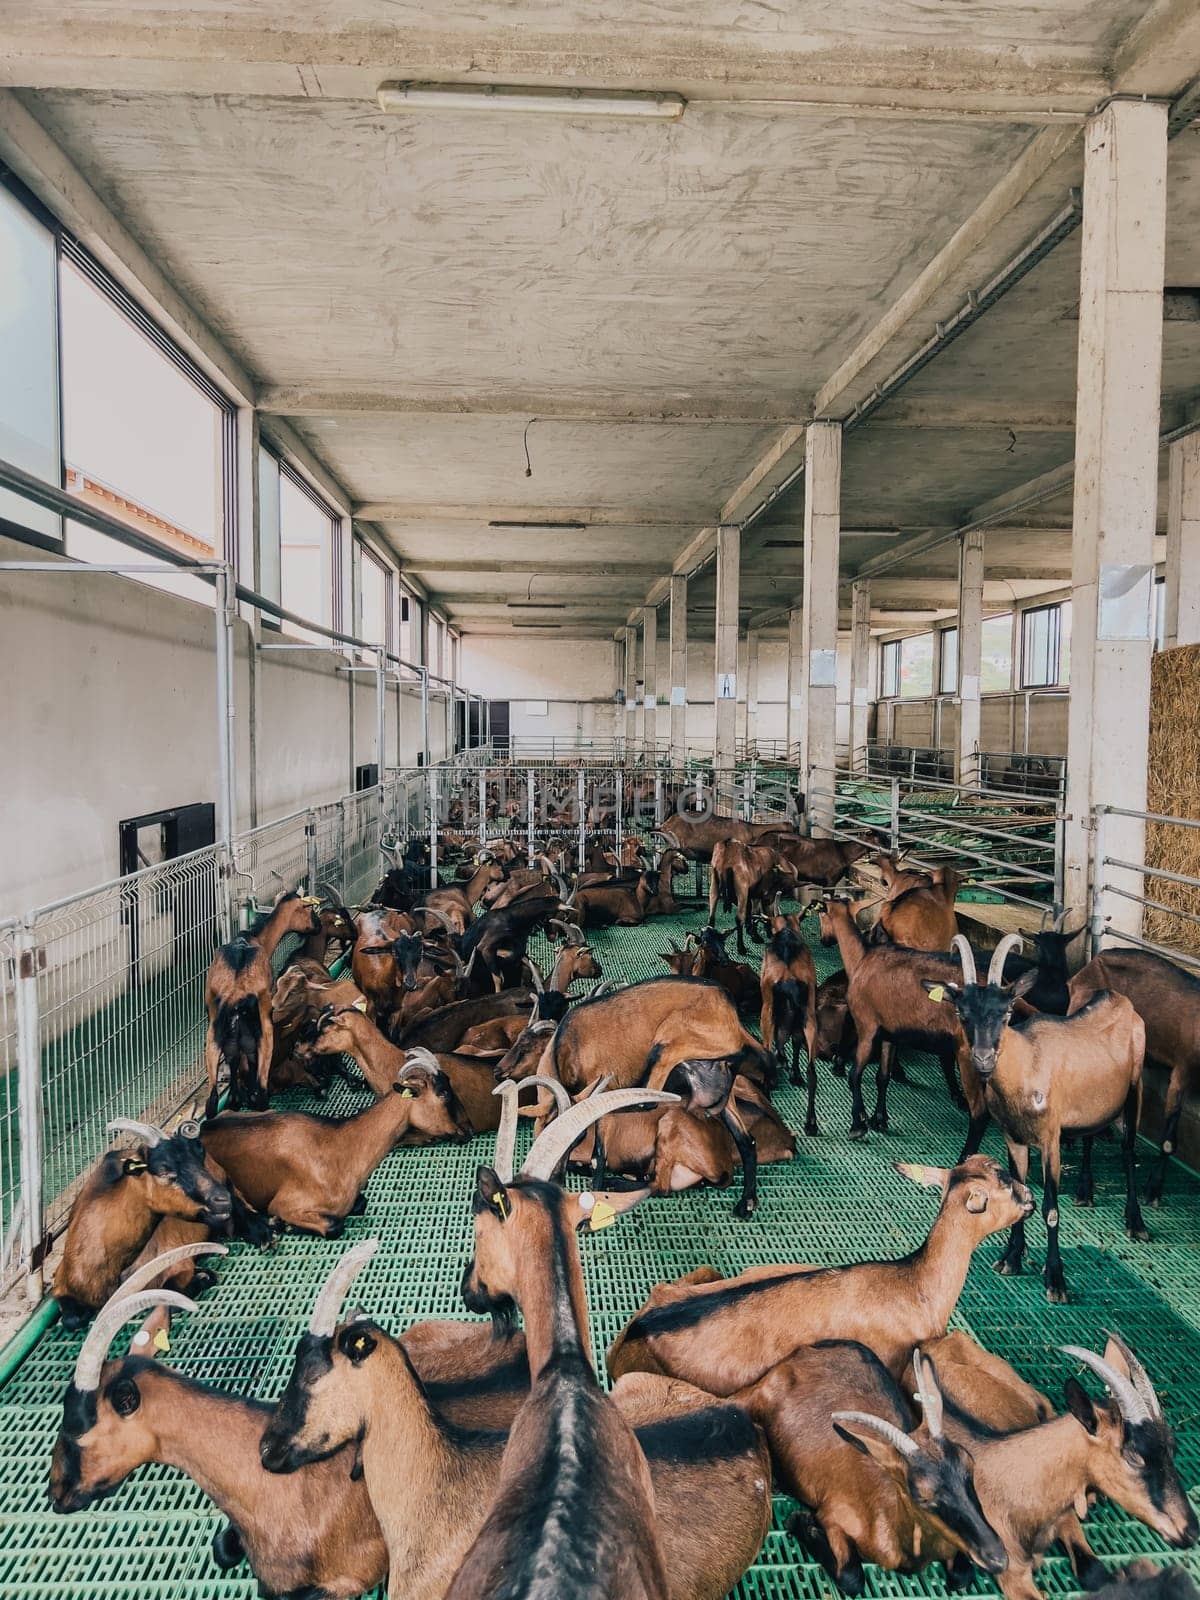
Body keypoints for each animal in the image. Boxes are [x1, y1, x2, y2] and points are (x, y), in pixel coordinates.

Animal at [203, 889, 324, 1113]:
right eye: (310, 908)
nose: (318, 925)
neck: (255, 938)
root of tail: (235, 996)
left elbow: (234, 1063)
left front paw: (235, 1099)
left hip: (214, 1035)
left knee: (212, 1101)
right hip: (264, 1031)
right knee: (261, 1090)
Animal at [928, 934, 1152, 1299]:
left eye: (1006, 1012)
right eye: (962, 1013)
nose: (983, 1058)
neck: (1026, 1064)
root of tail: (1119, 1000)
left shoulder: (1050, 1140)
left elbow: (1050, 1208)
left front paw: (1056, 1279)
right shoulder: (1014, 1138)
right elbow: (1019, 1194)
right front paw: (1011, 1258)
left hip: (1135, 1091)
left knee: (1128, 1150)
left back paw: (1136, 1222)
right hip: (1093, 1104)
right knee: (1090, 1137)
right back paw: (1085, 1191)